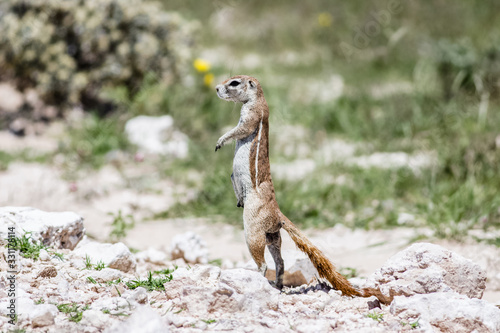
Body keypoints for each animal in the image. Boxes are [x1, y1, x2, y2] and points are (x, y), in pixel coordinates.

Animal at [213, 74, 370, 296]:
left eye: (234, 83)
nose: (216, 89)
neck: (258, 98)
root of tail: (278, 214)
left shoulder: (251, 115)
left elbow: (240, 129)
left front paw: (220, 140)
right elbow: (231, 175)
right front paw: (237, 198)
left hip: (253, 230)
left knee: (263, 263)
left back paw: (259, 280)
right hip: (273, 235)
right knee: (280, 261)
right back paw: (277, 285)